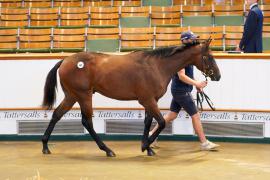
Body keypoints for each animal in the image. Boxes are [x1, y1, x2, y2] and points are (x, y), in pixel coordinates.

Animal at [41, 38, 220, 157]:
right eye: (210, 57)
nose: (217, 76)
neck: (157, 66)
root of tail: (65, 60)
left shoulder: (150, 101)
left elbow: (148, 122)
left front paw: (148, 148)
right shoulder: (147, 100)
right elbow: (161, 122)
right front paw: (145, 146)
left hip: (72, 96)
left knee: (57, 114)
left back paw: (45, 146)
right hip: (83, 96)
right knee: (87, 122)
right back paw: (107, 150)